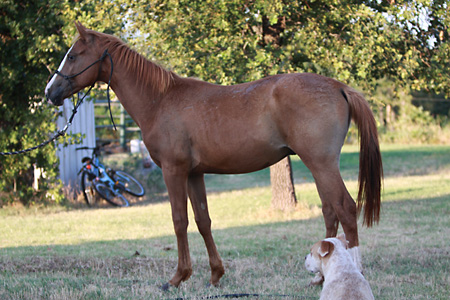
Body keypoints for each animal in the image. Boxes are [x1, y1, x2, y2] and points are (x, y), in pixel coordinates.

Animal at [45, 22, 384, 288]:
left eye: (72, 55)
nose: (50, 92)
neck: (160, 100)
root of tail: (338, 86)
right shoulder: (195, 174)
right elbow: (203, 220)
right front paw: (215, 274)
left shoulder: (174, 171)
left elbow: (179, 220)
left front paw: (177, 277)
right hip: (317, 166)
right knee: (330, 211)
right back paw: (319, 277)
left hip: (322, 164)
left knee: (345, 208)